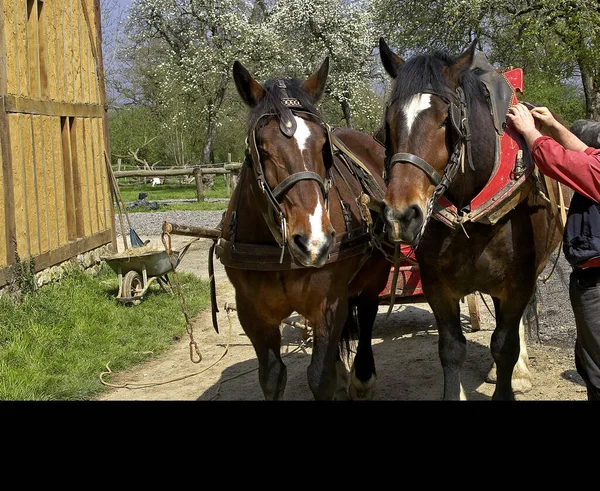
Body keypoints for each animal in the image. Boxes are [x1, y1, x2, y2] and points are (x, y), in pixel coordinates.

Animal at [217, 59, 394, 402]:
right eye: (262, 149)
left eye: (324, 147)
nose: (314, 242)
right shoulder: (253, 313)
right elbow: (272, 378)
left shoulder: (327, 305)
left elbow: (320, 378)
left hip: (374, 275)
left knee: (367, 314)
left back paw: (362, 377)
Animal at [378, 38, 568, 400]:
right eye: (389, 124)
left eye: (444, 120)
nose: (401, 216)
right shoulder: (437, 285)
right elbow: (452, 348)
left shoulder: (519, 281)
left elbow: (505, 344)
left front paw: (510, 379)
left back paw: (518, 372)